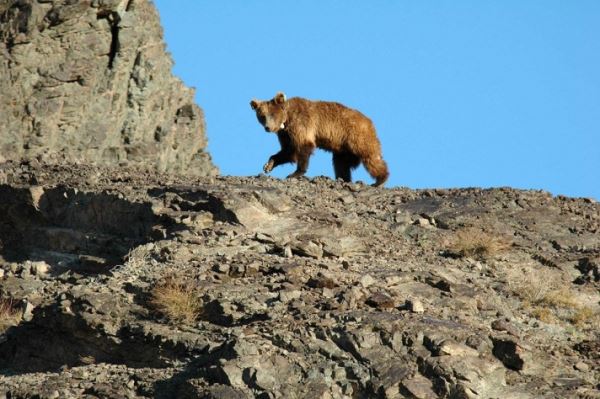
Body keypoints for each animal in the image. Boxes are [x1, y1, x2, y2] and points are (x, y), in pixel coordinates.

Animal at [248, 92, 390, 188]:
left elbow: (303, 148)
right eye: (262, 116)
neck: (287, 119)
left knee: (370, 157)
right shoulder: (285, 134)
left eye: (272, 114)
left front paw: (295, 173)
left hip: (357, 136)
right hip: (343, 148)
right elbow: (288, 152)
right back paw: (343, 178)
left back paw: (380, 180)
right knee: (340, 163)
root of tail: (369, 121)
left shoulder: (301, 124)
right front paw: (268, 165)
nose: (268, 128)